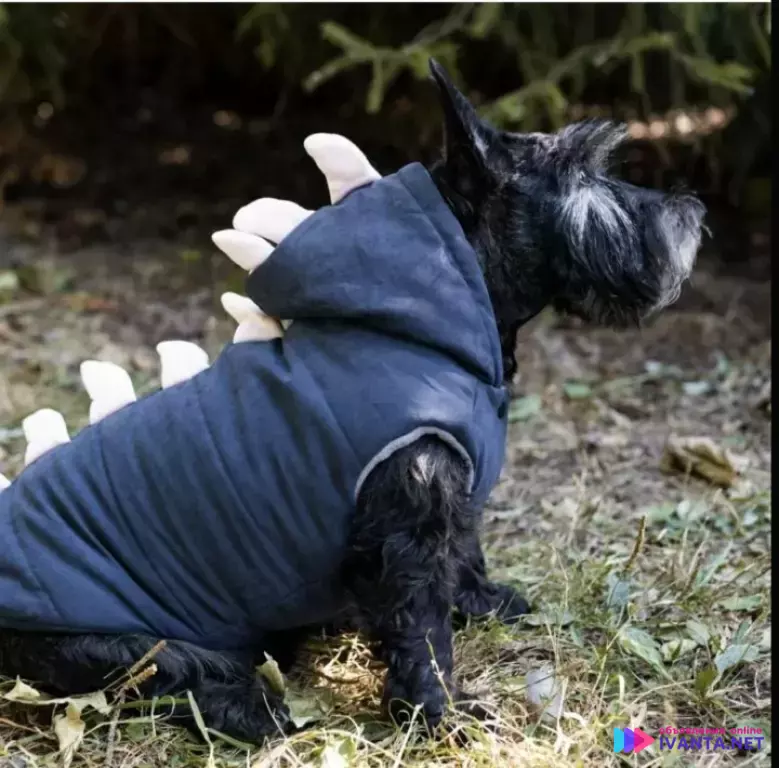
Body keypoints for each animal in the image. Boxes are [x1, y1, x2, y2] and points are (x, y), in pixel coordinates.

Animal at [0, 60, 705, 742]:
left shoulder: (449, 502)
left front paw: (481, 603)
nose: (692, 213)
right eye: (583, 175)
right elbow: (421, 632)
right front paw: (440, 715)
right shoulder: (408, 527)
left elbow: (464, 558)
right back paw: (256, 712)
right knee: (183, 678)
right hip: (123, 645)